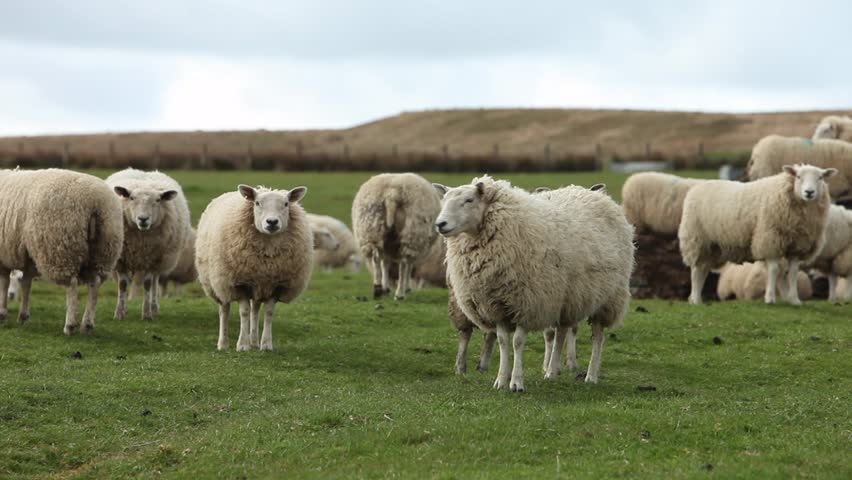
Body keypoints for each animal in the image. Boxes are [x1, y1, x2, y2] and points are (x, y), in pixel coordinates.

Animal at [0, 168, 123, 335]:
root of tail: (94, 203)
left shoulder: (4, 255)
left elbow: (5, 283)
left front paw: (3, 313)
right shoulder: (28, 257)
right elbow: (26, 283)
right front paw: (23, 316)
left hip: (61, 248)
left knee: (72, 285)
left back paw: (70, 325)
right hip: (104, 250)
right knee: (94, 283)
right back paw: (87, 325)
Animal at [106, 168, 191, 321]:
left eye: (157, 200)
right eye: (131, 198)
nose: (143, 219)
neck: (140, 240)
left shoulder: (152, 258)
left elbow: (147, 285)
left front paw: (146, 313)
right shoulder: (121, 259)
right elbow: (122, 285)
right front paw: (119, 313)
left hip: (161, 260)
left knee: (155, 282)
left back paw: (154, 307)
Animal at [196, 184, 313, 352]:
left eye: (286, 204)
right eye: (257, 203)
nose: (272, 222)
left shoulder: (276, 285)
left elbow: (268, 313)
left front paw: (266, 344)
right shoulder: (239, 283)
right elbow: (244, 313)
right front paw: (242, 345)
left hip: (258, 283)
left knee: (255, 309)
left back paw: (254, 341)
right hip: (219, 282)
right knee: (224, 310)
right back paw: (223, 343)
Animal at [434, 176, 634, 391]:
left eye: (469, 200)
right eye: (444, 200)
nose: (440, 224)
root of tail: (598, 196)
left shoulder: (527, 302)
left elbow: (517, 342)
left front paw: (516, 382)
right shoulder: (497, 305)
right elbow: (503, 341)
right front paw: (501, 380)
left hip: (608, 298)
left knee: (597, 336)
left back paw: (591, 375)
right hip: (566, 298)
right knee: (561, 333)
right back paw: (551, 372)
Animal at [679, 164, 835, 306]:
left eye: (820, 177)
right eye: (798, 176)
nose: (809, 192)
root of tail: (697, 187)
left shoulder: (797, 245)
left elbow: (793, 273)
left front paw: (794, 300)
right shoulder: (770, 239)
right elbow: (774, 270)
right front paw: (770, 298)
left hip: (713, 246)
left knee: (703, 270)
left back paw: (696, 299)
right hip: (697, 240)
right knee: (696, 271)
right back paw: (696, 299)